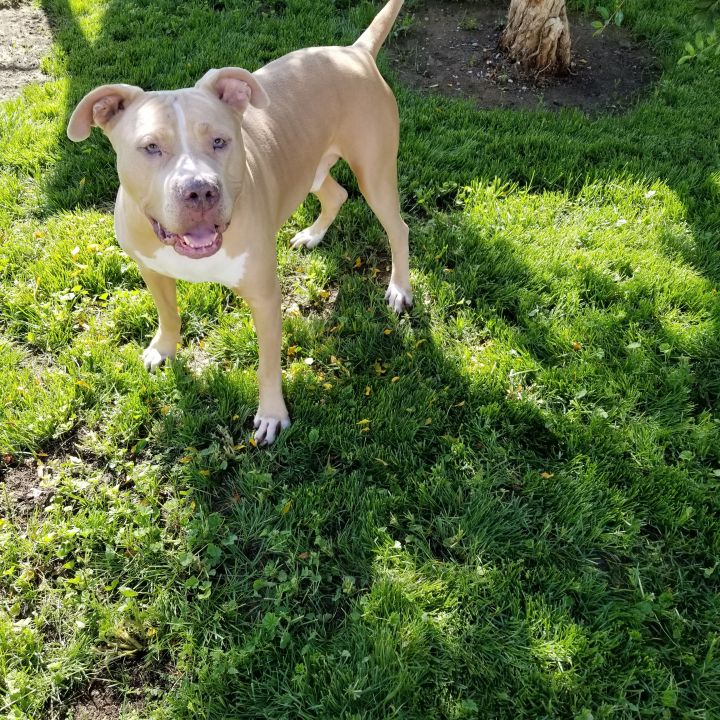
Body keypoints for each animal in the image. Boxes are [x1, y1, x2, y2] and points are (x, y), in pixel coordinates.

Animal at [69, 0, 416, 444]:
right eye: (150, 147)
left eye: (220, 141)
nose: (199, 191)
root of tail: (354, 52)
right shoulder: (151, 269)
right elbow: (168, 313)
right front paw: (163, 349)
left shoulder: (265, 299)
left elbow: (267, 364)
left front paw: (271, 415)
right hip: (311, 168)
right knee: (336, 194)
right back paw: (312, 235)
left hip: (374, 172)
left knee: (397, 227)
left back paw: (399, 288)